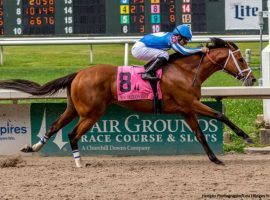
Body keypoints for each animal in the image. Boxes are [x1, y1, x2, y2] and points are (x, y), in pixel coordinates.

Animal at [0, 38, 255, 167]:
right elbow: (220, 115)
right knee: (72, 134)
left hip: (74, 108)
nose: (252, 79)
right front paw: (246, 136)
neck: (185, 71)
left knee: (54, 126)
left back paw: (32, 147)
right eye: (241, 59)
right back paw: (79, 162)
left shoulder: (185, 109)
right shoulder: (191, 103)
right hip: (91, 113)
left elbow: (200, 134)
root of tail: (78, 74)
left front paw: (215, 158)